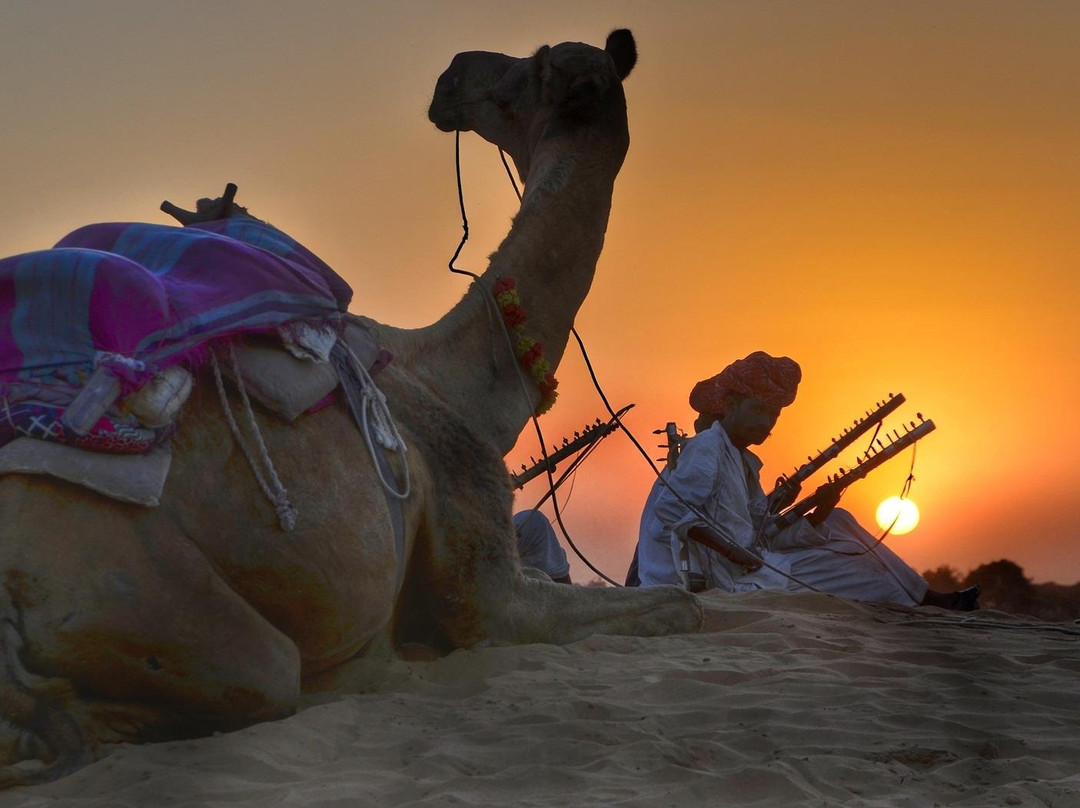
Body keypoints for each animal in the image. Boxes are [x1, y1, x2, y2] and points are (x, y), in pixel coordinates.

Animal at [0, 29, 704, 782]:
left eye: (534, 65)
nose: (452, 75)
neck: (458, 382)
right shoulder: (488, 587)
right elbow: (679, 605)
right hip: (141, 593)